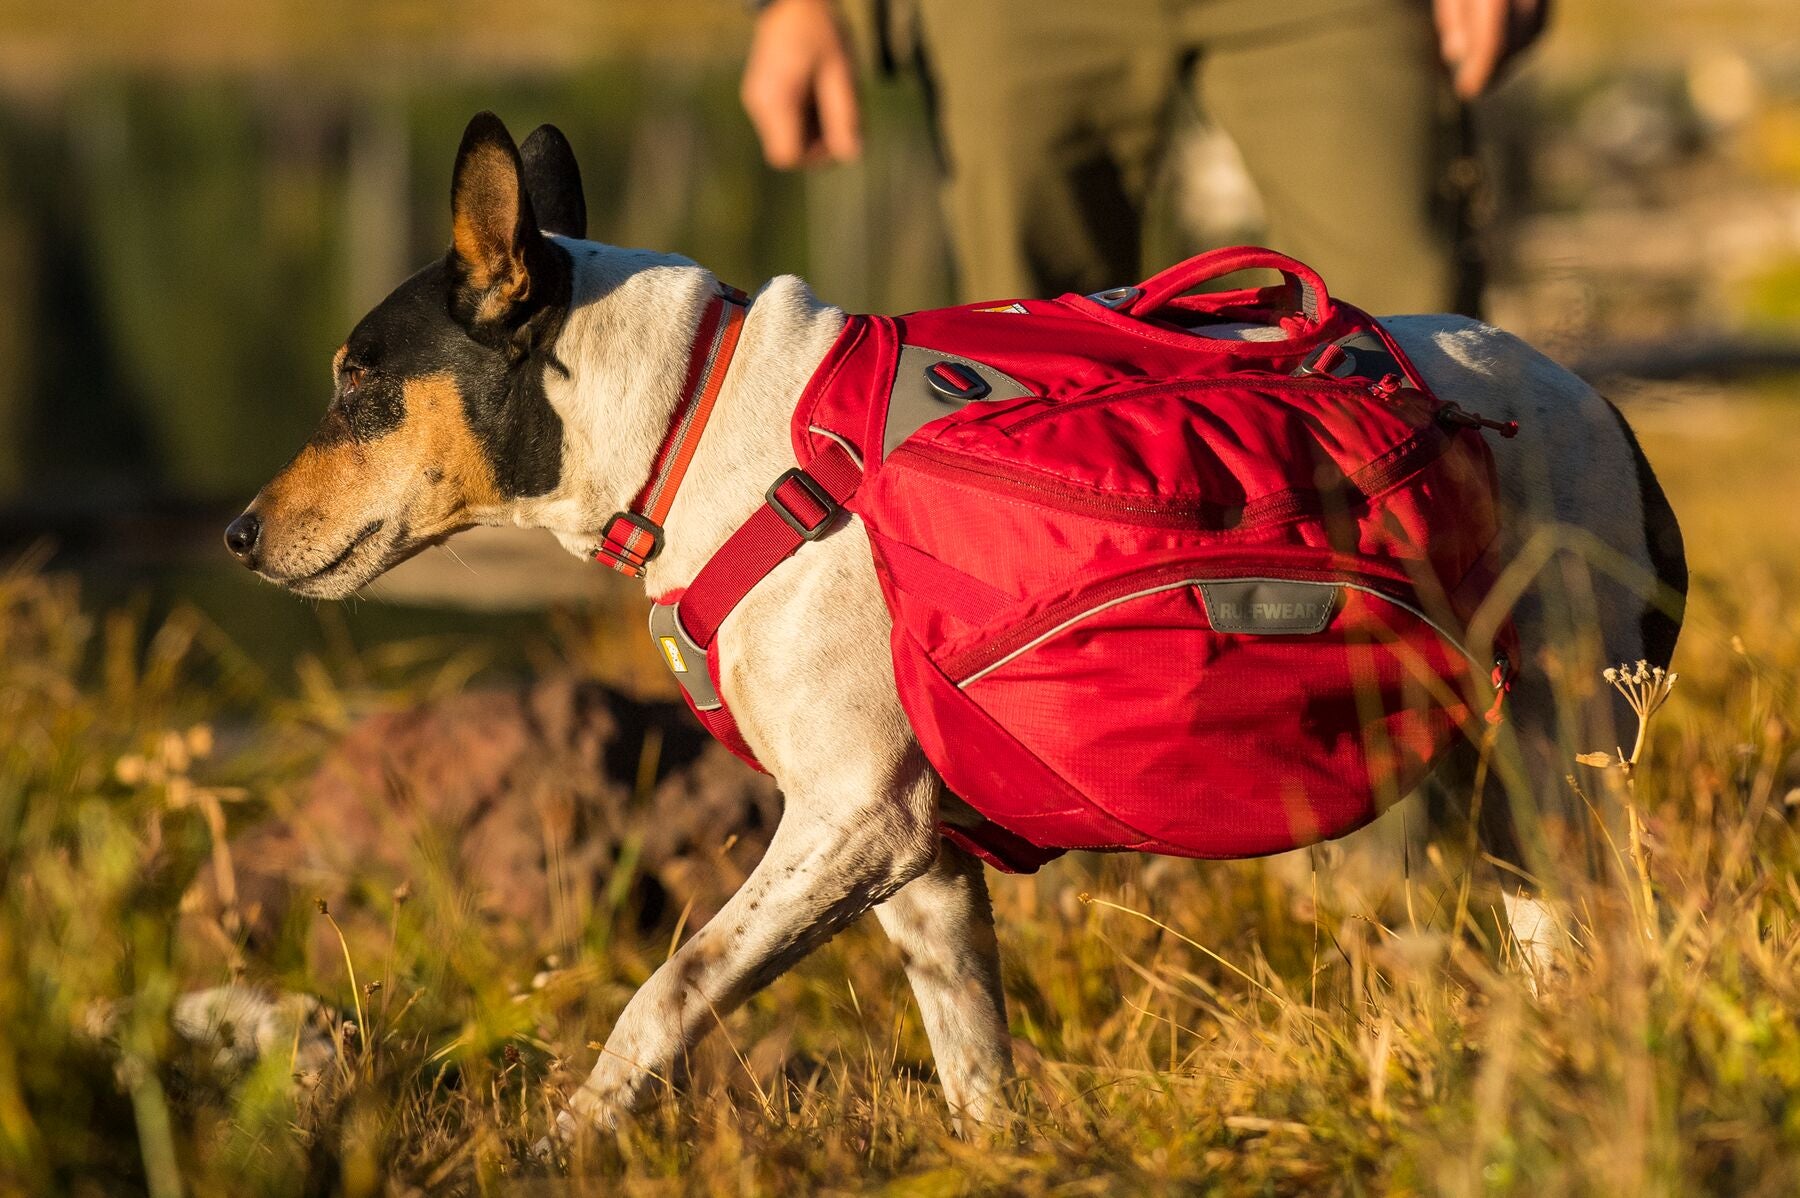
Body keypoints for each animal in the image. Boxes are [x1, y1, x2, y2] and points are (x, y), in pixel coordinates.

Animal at [225, 111, 1684, 1129]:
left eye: (357, 385)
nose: (237, 534)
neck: (698, 422)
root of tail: (1586, 391)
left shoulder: (850, 822)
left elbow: (667, 990)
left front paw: (573, 1134)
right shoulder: (921, 863)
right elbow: (977, 1065)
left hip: (1559, 759)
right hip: (1495, 791)